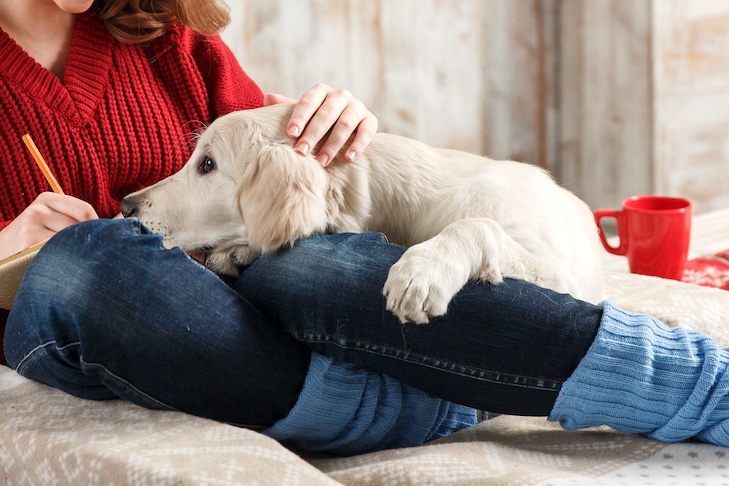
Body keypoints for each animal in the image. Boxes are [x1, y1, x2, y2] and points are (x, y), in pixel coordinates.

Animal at [121, 102, 604, 322]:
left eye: (207, 164)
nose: (125, 205)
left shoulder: (564, 276)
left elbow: (476, 223)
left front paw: (422, 271)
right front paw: (238, 251)